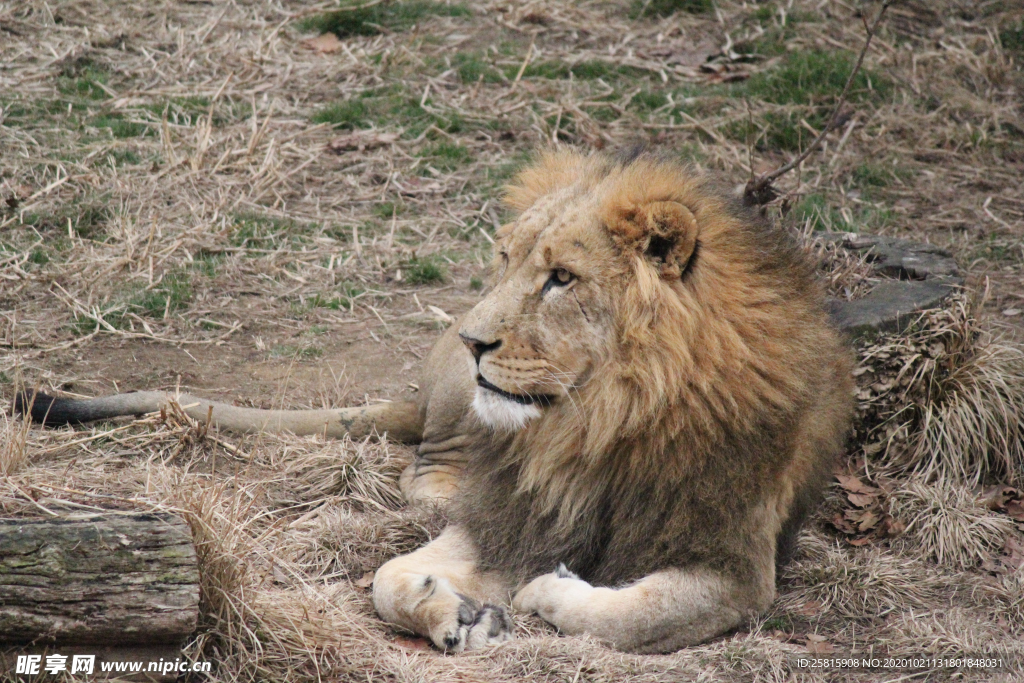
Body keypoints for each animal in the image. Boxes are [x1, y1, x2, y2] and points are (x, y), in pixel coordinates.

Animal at [16, 148, 851, 651]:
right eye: (507, 259)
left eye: (562, 278)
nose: (474, 339)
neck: (597, 422)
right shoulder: (513, 513)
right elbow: (387, 578)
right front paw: (452, 611)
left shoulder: (731, 563)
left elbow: (638, 612)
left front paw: (551, 590)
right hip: (453, 410)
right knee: (427, 462)